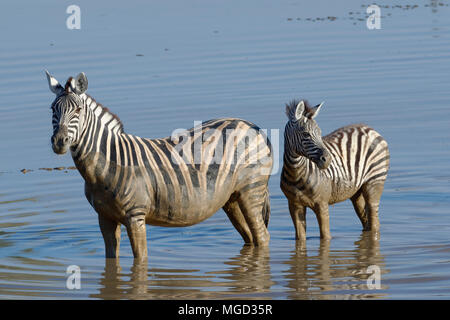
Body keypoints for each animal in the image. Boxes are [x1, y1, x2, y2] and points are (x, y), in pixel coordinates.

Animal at [45, 71, 272, 258]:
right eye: (52, 109)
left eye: (78, 110)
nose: (59, 141)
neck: (108, 164)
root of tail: (252, 125)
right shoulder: (105, 218)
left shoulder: (135, 216)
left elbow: (140, 261)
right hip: (231, 197)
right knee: (251, 238)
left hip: (251, 189)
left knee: (263, 237)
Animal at [282, 100, 390, 242]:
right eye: (306, 134)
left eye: (320, 133)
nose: (328, 160)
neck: (296, 174)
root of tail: (370, 129)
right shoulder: (294, 205)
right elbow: (300, 238)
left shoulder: (322, 204)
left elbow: (325, 236)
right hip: (356, 192)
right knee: (366, 220)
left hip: (375, 182)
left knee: (374, 222)